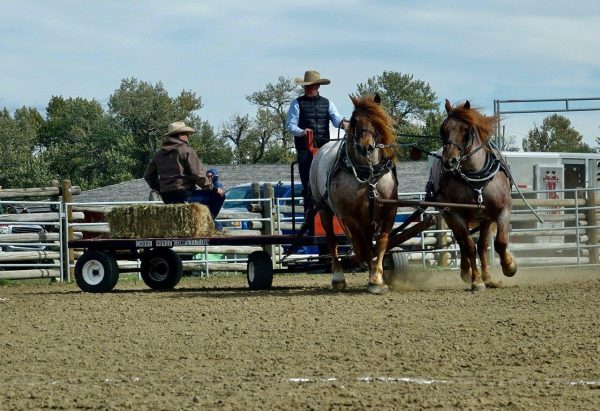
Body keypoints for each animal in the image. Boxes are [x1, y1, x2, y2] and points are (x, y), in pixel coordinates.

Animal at [310, 95, 398, 294]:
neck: (369, 173)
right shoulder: (351, 217)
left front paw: (377, 278)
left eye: (376, 120)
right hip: (325, 210)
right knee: (332, 242)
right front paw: (374, 279)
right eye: (355, 120)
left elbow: (381, 243)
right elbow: (363, 248)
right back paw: (338, 277)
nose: (366, 147)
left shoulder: (389, 211)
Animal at [426, 100, 516, 292]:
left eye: (465, 129)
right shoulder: (456, 214)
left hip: (485, 219)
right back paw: (467, 272)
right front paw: (476, 281)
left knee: (482, 245)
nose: (449, 161)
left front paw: (509, 266)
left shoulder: (503, 210)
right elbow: (468, 246)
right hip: (450, 217)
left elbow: (500, 242)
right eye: (443, 129)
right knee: (462, 242)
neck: (476, 177)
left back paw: (488, 277)